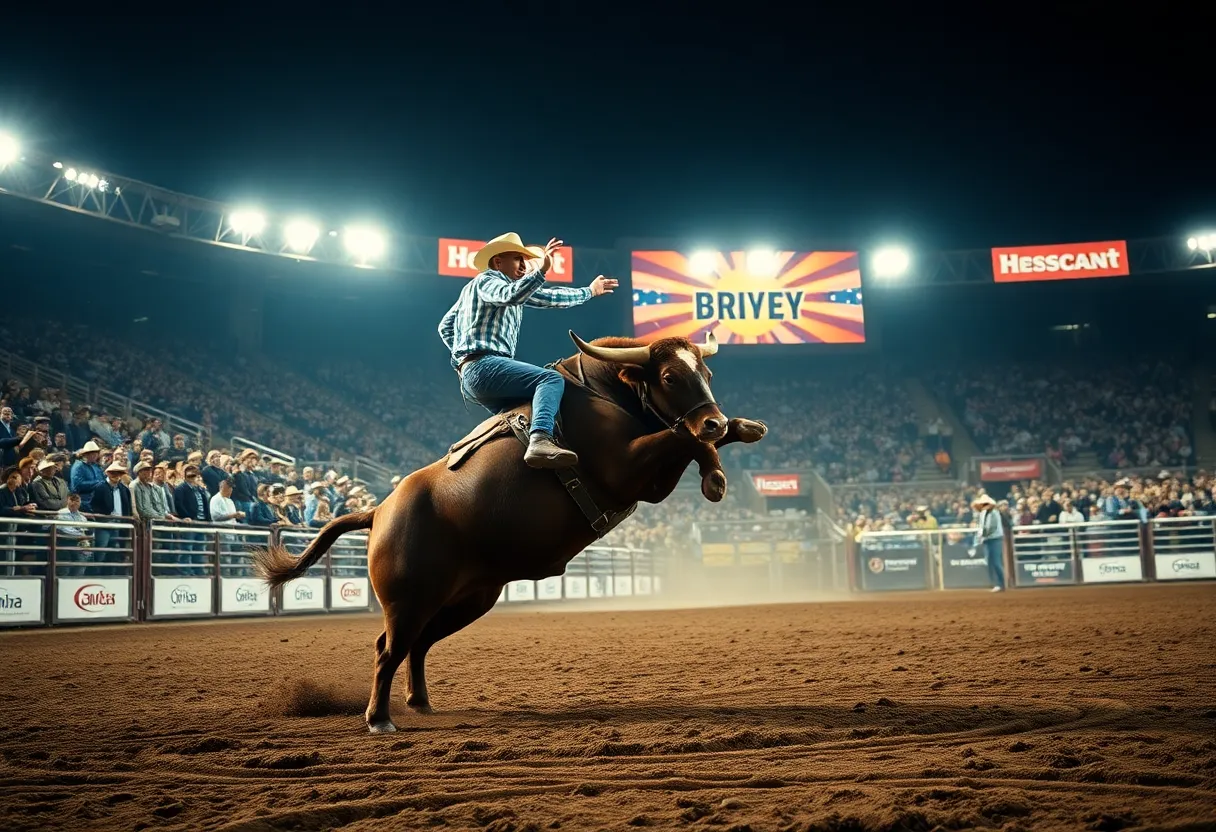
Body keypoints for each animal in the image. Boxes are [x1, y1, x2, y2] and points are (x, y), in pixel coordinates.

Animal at [252, 330, 768, 733]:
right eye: (669, 377)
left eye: (707, 374)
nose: (714, 418)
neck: (604, 396)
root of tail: (379, 511)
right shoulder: (630, 474)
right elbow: (680, 436)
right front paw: (715, 470)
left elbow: (689, 438)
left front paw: (740, 432)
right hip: (407, 600)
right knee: (388, 648)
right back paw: (379, 718)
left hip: (469, 599)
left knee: (418, 644)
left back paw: (421, 702)